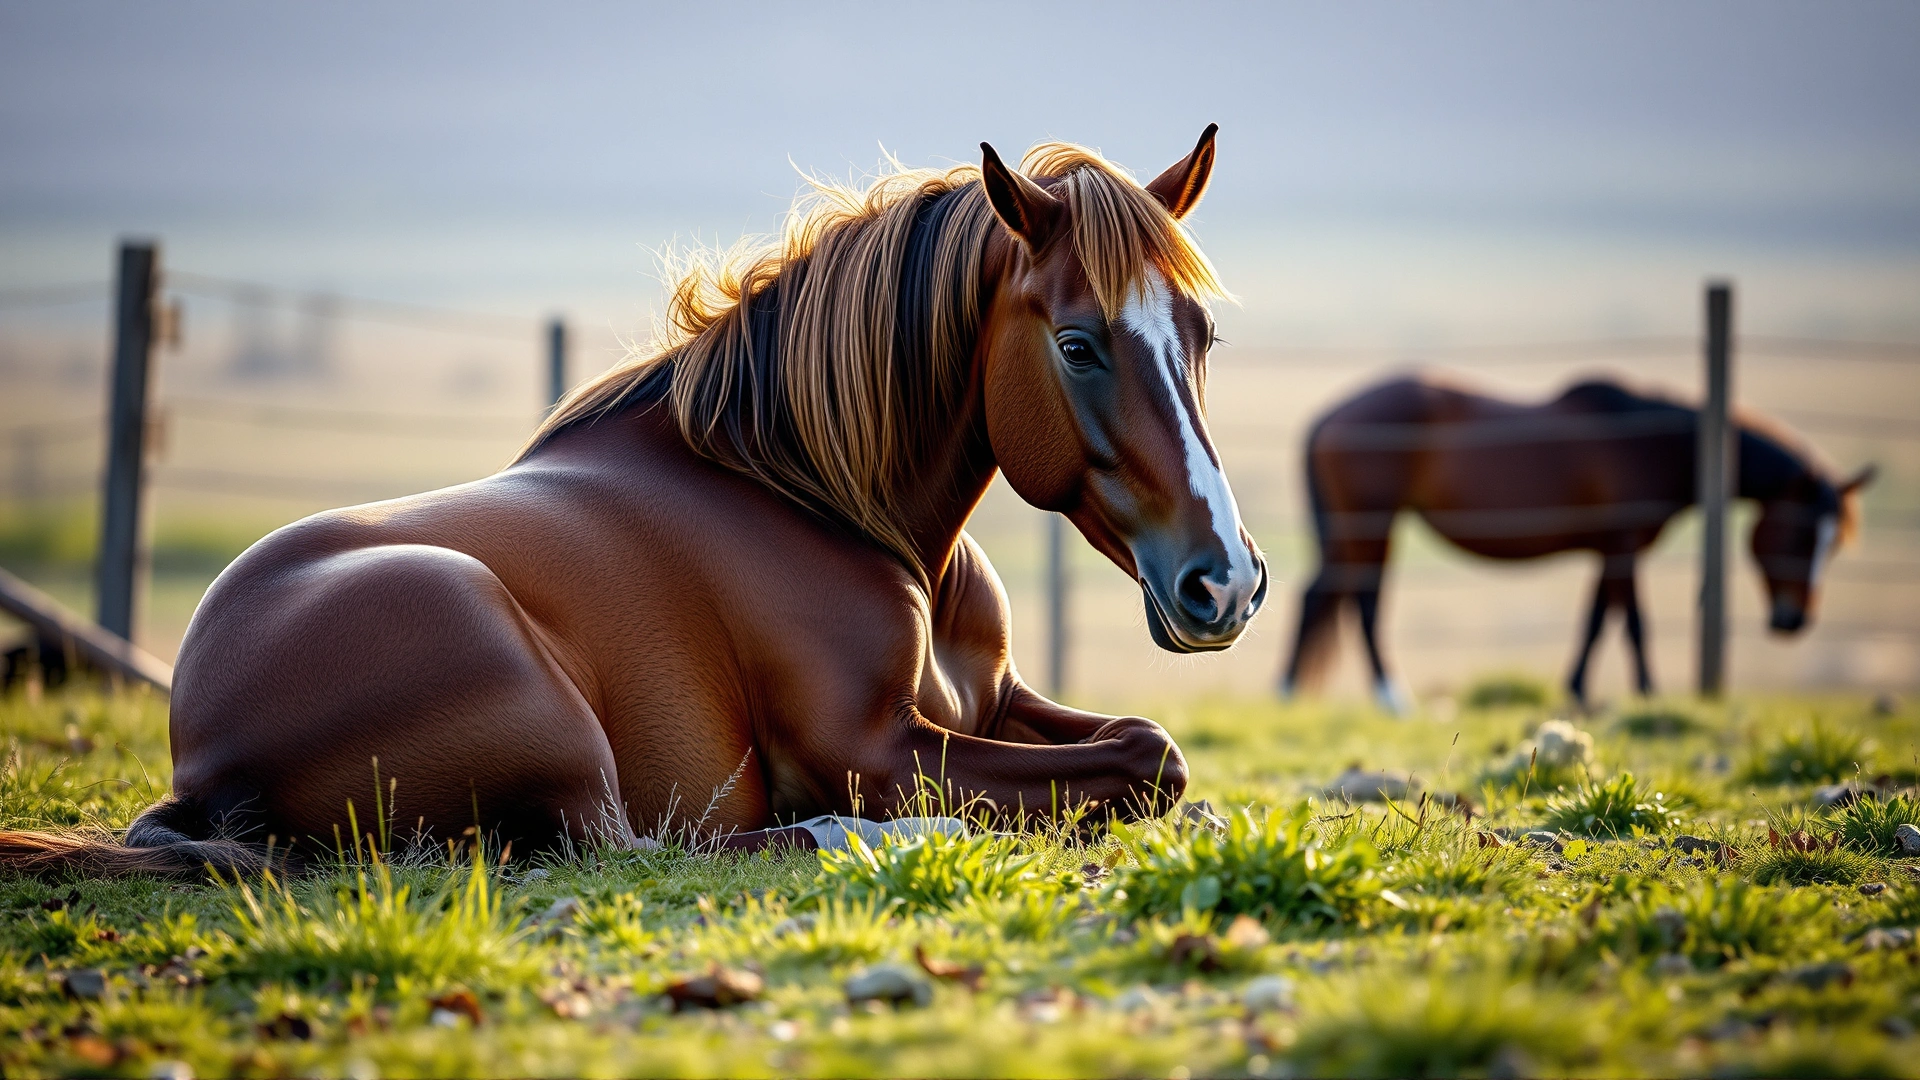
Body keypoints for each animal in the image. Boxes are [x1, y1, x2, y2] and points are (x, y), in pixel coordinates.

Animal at [1, 126, 1269, 877]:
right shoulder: (881, 748)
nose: (1226, 583)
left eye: (1203, 334)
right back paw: (878, 838)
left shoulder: (998, 702)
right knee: (637, 847)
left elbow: (1153, 751)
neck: (818, 496)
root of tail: (201, 754)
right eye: (1078, 344)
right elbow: (1138, 760)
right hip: (532, 692)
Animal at [1278, 373, 1872, 711]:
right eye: (1800, 533)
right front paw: (1649, 694)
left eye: (1835, 543)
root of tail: (1328, 417)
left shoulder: (1609, 549)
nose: (1794, 620)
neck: (1660, 440)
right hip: (1371, 523)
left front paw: (1580, 691)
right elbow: (1633, 624)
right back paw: (1388, 695)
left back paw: (1291, 690)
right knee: (1363, 602)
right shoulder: (1626, 546)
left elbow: (1596, 620)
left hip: (1350, 529)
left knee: (1320, 596)